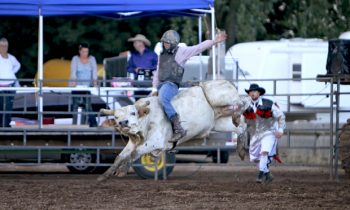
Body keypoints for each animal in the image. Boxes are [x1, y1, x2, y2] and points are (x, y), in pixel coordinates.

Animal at [97, 79, 250, 181]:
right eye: (116, 117)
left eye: (133, 113)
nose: (123, 123)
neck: (147, 119)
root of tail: (227, 82)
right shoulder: (133, 142)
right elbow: (120, 156)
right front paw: (106, 174)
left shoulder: (156, 141)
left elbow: (136, 152)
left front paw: (122, 170)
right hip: (218, 122)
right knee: (241, 126)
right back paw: (241, 148)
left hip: (222, 99)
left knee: (244, 101)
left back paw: (238, 115)